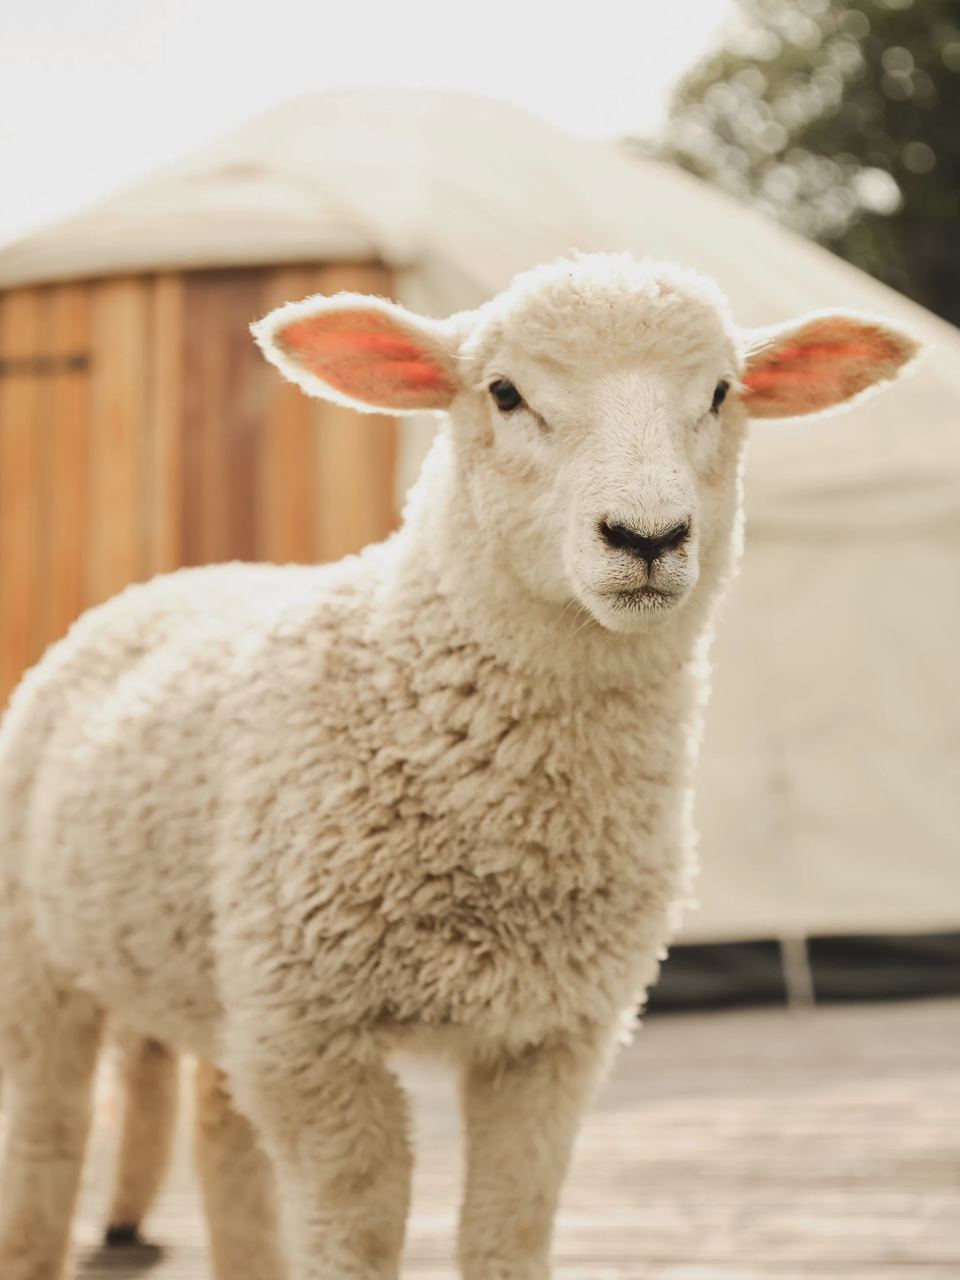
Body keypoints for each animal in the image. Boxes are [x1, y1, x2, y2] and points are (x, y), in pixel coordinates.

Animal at [0, 252, 917, 1280]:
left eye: (722, 392)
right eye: (505, 392)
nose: (647, 537)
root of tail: (172, 580)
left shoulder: (558, 1033)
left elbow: (508, 1224)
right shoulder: (312, 1030)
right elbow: (358, 1227)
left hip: (219, 976)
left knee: (221, 1135)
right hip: (43, 958)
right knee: (48, 1134)